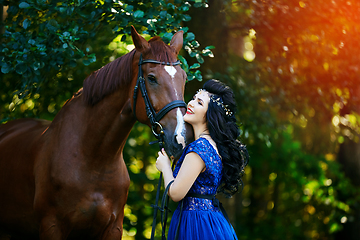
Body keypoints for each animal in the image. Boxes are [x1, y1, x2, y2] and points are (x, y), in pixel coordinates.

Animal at [0, 25, 194, 238]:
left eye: (184, 77)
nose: (182, 138)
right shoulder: (52, 226)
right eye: (151, 78)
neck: (94, 161)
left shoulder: (113, 228)